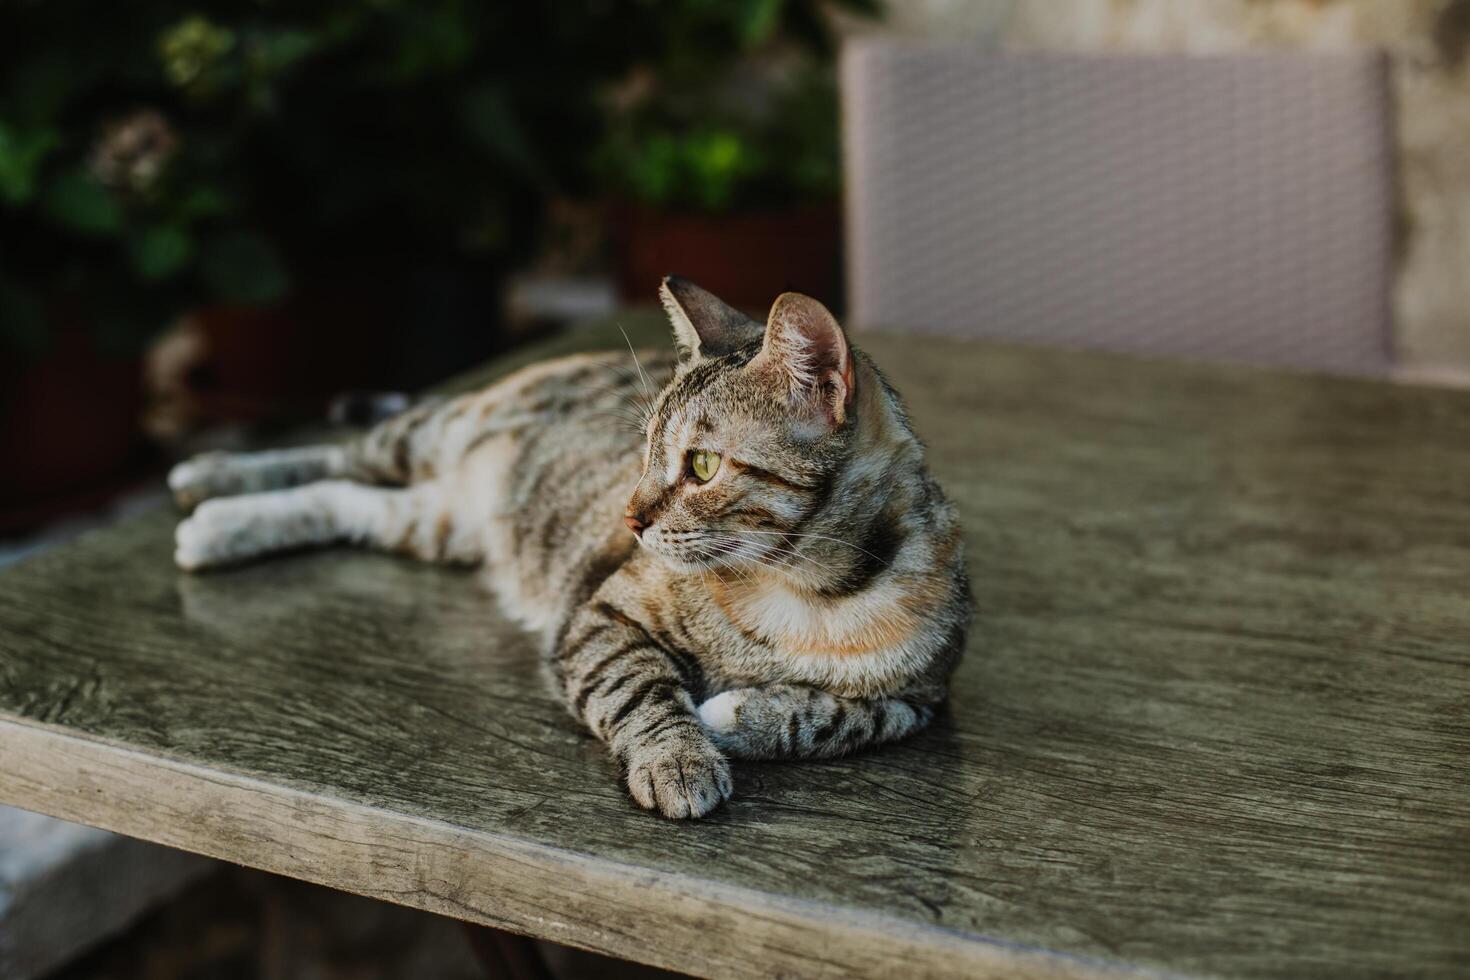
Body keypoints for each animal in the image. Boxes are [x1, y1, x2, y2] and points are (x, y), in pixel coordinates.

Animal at [166, 277, 970, 822]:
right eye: (644, 452)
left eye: (701, 465)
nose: (630, 518)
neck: (808, 590)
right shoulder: (601, 613)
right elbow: (640, 686)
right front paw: (680, 754)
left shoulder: (921, 701)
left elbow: (836, 718)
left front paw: (738, 716)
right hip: (432, 433)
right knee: (339, 454)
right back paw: (208, 479)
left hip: (437, 520)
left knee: (347, 498)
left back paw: (221, 525)